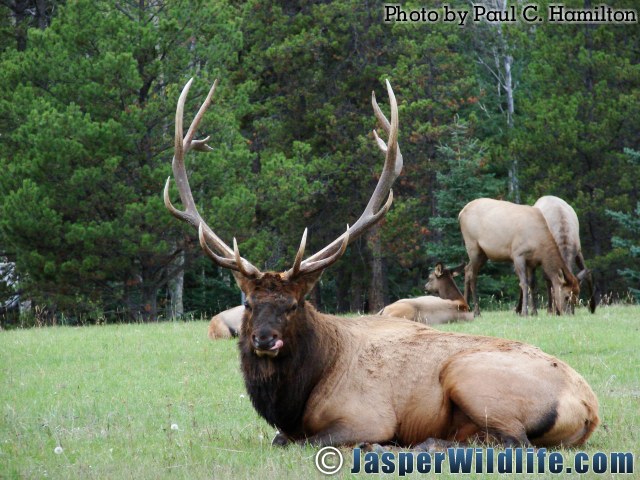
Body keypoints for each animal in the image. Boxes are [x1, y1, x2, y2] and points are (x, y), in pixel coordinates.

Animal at [162, 79, 596, 450]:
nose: (264, 339)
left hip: (469, 374)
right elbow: (280, 438)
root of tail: (589, 408)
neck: (298, 399)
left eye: (294, 304)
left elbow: (294, 441)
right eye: (250, 303)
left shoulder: (365, 415)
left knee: (513, 441)